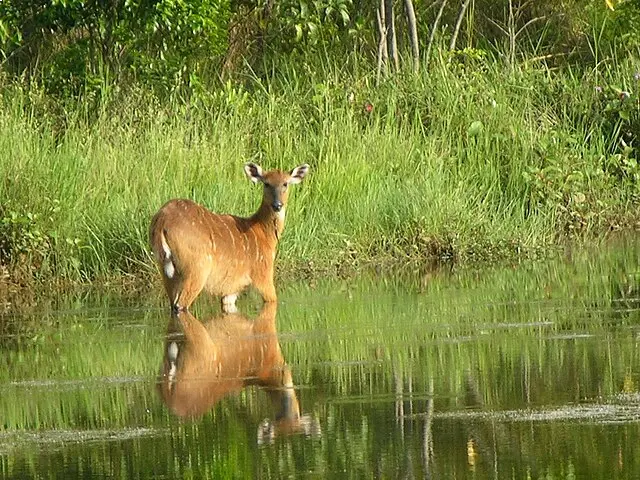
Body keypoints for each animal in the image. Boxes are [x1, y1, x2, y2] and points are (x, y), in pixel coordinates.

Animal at [150, 163, 309, 313]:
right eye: (266, 183)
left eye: (285, 183)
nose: (277, 205)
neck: (264, 235)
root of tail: (162, 220)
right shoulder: (263, 271)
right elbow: (272, 300)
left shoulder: (231, 288)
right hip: (197, 266)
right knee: (180, 305)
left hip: (166, 270)